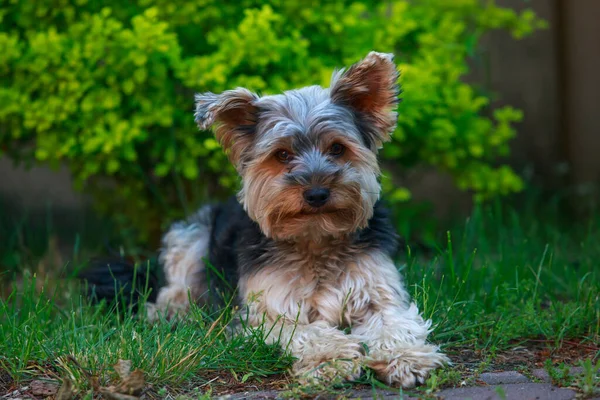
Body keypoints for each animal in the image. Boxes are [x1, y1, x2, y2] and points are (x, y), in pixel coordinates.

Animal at [84, 52, 450, 388]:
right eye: (282, 155)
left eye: (337, 148)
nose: (317, 193)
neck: (315, 240)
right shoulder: (268, 312)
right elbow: (310, 332)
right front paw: (329, 360)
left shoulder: (379, 292)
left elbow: (395, 324)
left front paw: (405, 358)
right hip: (192, 234)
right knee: (172, 289)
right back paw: (171, 313)